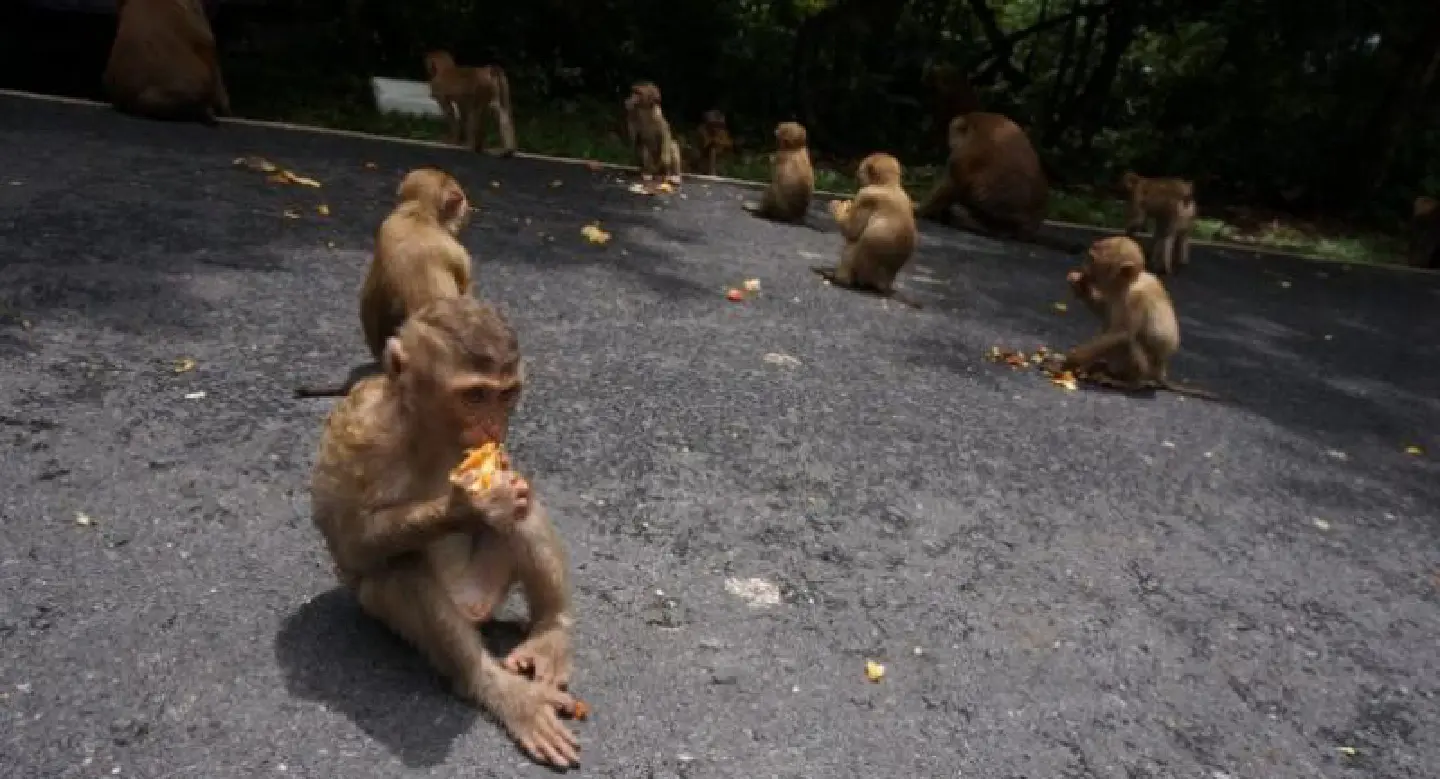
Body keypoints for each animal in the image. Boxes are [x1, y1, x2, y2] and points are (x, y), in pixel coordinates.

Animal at [309, 296, 582, 768]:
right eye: (474, 395)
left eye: (506, 394)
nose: (493, 427)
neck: (425, 429)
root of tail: (474, 607)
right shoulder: (358, 431)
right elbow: (347, 539)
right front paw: (470, 506)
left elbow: (514, 484)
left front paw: (496, 493)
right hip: (385, 610)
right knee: (403, 565)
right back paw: (490, 685)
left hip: (489, 585)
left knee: (524, 505)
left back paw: (550, 628)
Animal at [811, 153, 922, 309]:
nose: (856, 175)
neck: (888, 185)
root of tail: (884, 284)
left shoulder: (865, 195)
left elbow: (851, 231)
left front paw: (839, 207)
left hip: (863, 275)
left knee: (854, 243)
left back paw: (840, 279)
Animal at [1056, 236, 1221, 401]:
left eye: (1091, 260)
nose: (1084, 268)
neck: (1129, 283)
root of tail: (1161, 372)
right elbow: (1105, 312)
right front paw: (1078, 284)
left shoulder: (1136, 298)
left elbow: (1121, 333)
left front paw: (1072, 359)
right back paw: (1100, 367)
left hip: (1148, 369)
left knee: (1128, 341)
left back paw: (1128, 382)